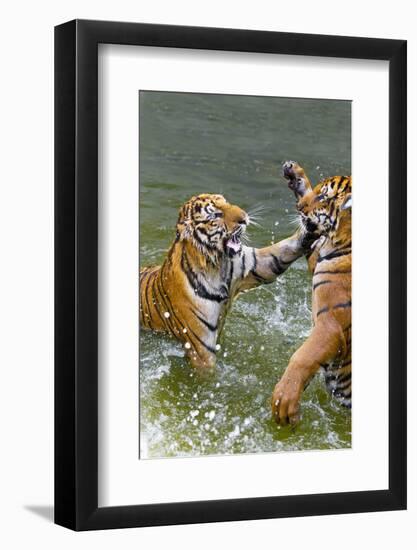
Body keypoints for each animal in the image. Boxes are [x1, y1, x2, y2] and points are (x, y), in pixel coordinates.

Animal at [140, 194, 312, 370]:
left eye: (227, 203)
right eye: (216, 215)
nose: (244, 218)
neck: (217, 265)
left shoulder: (256, 264)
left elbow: (284, 249)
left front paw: (310, 228)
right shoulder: (201, 349)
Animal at [272, 162, 350, 430]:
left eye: (323, 197)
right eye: (318, 191)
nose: (300, 208)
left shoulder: (330, 325)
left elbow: (303, 357)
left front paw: (284, 402)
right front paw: (295, 176)